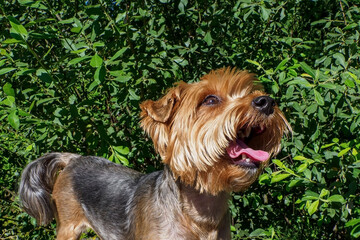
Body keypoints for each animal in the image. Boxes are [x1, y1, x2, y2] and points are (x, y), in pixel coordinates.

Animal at [19, 68, 290, 240]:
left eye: (252, 92)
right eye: (210, 100)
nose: (266, 102)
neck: (202, 213)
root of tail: (73, 158)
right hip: (68, 225)